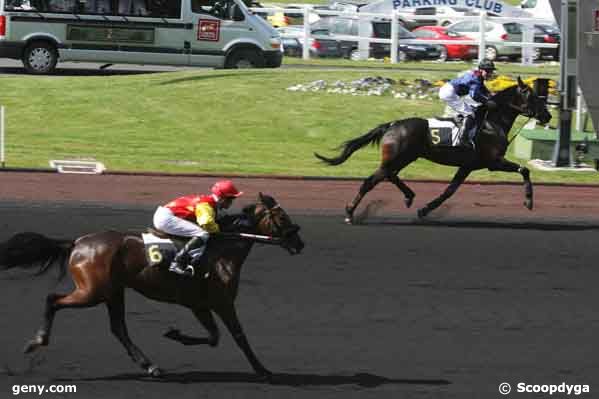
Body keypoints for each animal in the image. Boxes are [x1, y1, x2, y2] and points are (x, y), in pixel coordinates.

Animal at [0, 195, 304, 380]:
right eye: (282, 218)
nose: (299, 243)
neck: (222, 251)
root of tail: (78, 242)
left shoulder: (199, 304)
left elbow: (214, 337)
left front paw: (175, 334)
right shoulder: (221, 302)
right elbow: (238, 336)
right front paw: (263, 371)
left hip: (113, 291)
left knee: (118, 328)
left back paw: (150, 365)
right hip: (92, 292)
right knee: (53, 299)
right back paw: (38, 340)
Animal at [314, 76, 552, 223]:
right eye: (532, 96)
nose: (548, 116)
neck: (491, 121)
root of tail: (392, 125)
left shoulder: (467, 166)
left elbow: (449, 191)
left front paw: (425, 209)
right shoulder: (493, 162)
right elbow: (525, 170)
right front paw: (529, 202)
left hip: (403, 157)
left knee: (389, 175)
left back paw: (409, 196)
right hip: (397, 157)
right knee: (371, 181)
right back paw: (349, 212)